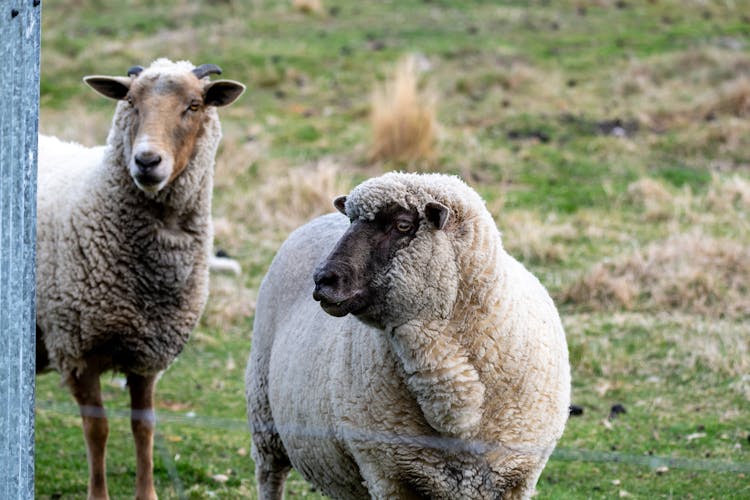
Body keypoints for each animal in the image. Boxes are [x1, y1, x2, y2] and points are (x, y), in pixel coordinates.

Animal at [36, 59, 245, 500]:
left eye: (195, 105)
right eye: (130, 101)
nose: (147, 161)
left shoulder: (148, 352)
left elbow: (144, 428)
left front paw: (147, 493)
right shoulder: (77, 346)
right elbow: (97, 429)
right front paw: (98, 495)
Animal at [245, 170, 568, 498]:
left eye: (402, 225)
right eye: (351, 221)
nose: (323, 279)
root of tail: (318, 217)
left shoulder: (520, 477)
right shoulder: (386, 472)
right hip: (264, 414)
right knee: (270, 475)